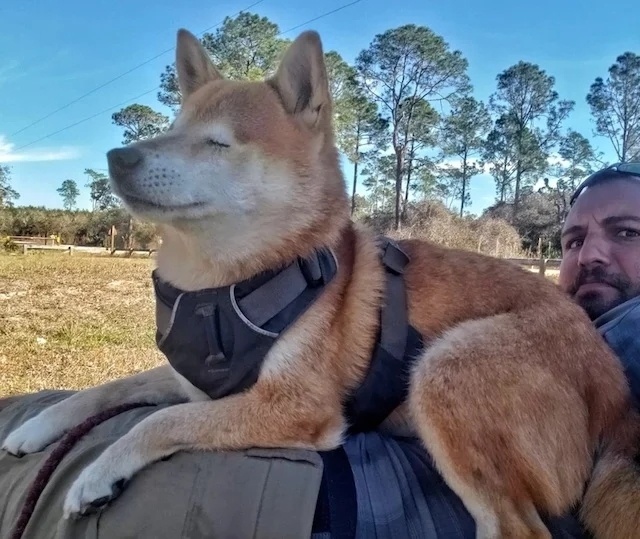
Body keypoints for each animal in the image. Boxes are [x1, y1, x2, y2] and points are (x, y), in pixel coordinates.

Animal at [3, 30, 640, 539]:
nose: (117, 157)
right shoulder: (189, 381)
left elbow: (160, 421)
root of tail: (615, 392)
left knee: (518, 530)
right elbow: (103, 392)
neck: (219, 287)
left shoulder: (295, 409)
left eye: (217, 142)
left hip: (445, 364)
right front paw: (36, 428)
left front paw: (98, 471)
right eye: (172, 129)